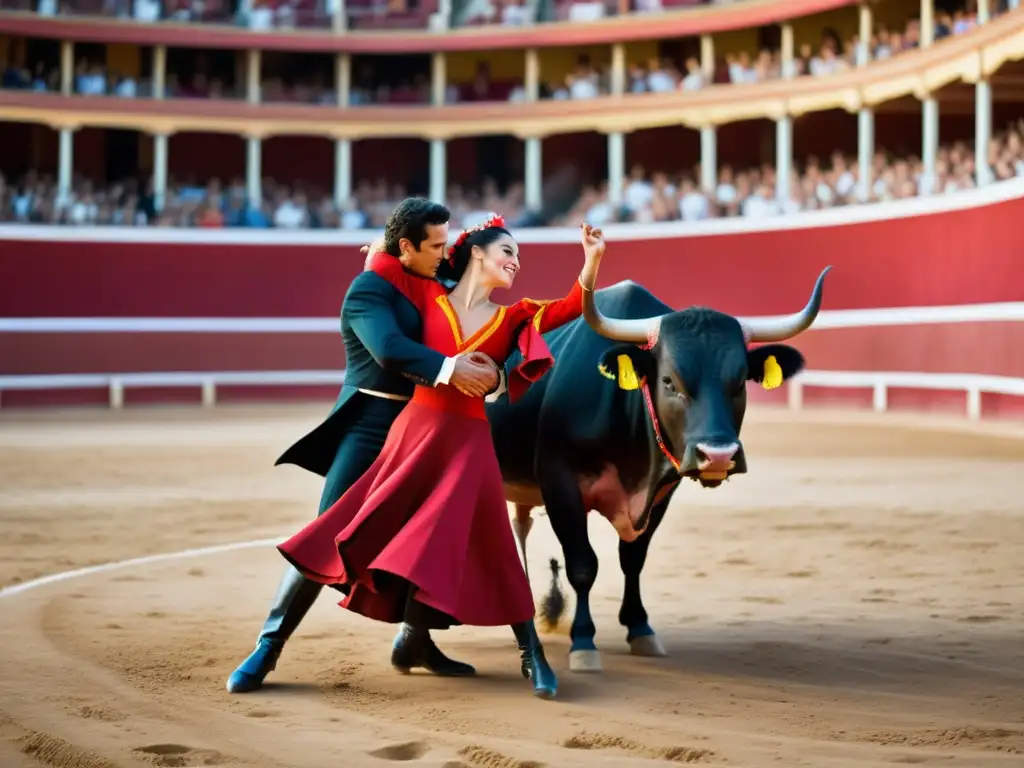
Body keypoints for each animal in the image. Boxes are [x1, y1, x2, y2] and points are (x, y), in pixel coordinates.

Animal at [487, 272, 831, 671]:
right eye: (669, 381)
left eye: (740, 381)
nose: (718, 455)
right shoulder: (561, 486)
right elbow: (583, 565)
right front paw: (583, 641)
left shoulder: (663, 493)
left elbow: (633, 559)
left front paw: (640, 628)